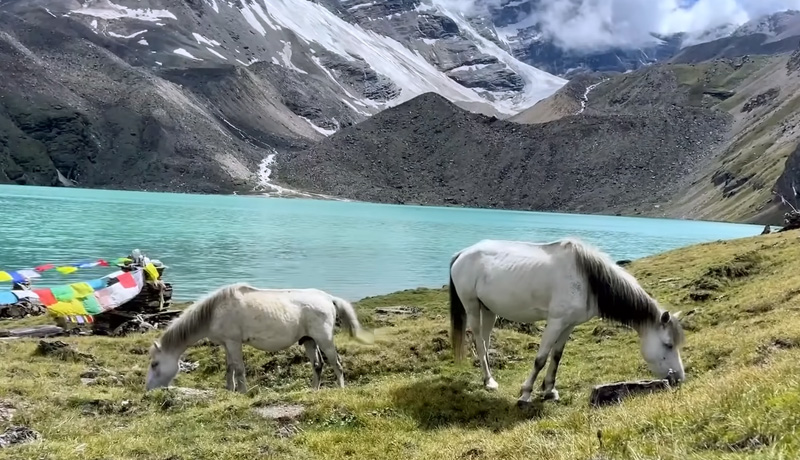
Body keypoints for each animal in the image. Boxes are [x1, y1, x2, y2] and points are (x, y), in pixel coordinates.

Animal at [145, 282, 374, 394]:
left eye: (155, 364)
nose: (148, 390)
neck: (214, 311)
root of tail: (328, 298)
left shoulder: (234, 343)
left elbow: (239, 369)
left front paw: (243, 392)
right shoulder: (227, 344)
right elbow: (229, 368)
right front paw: (230, 391)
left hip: (324, 340)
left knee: (336, 363)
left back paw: (341, 389)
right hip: (309, 340)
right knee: (318, 365)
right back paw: (314, 391)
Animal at [454, 239, 684, 404]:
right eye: (668, 344)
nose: (680, 378)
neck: (587, 280)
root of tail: (462, 253)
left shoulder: (569, 324)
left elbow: (556, 357)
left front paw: (550, 391)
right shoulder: (556, 322)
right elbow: (540, 359)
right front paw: (525, 394)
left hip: (489, 310)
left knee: (485, 341)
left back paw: (489, 378)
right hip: (472, 306)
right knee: (478, 341)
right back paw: (489, 382)